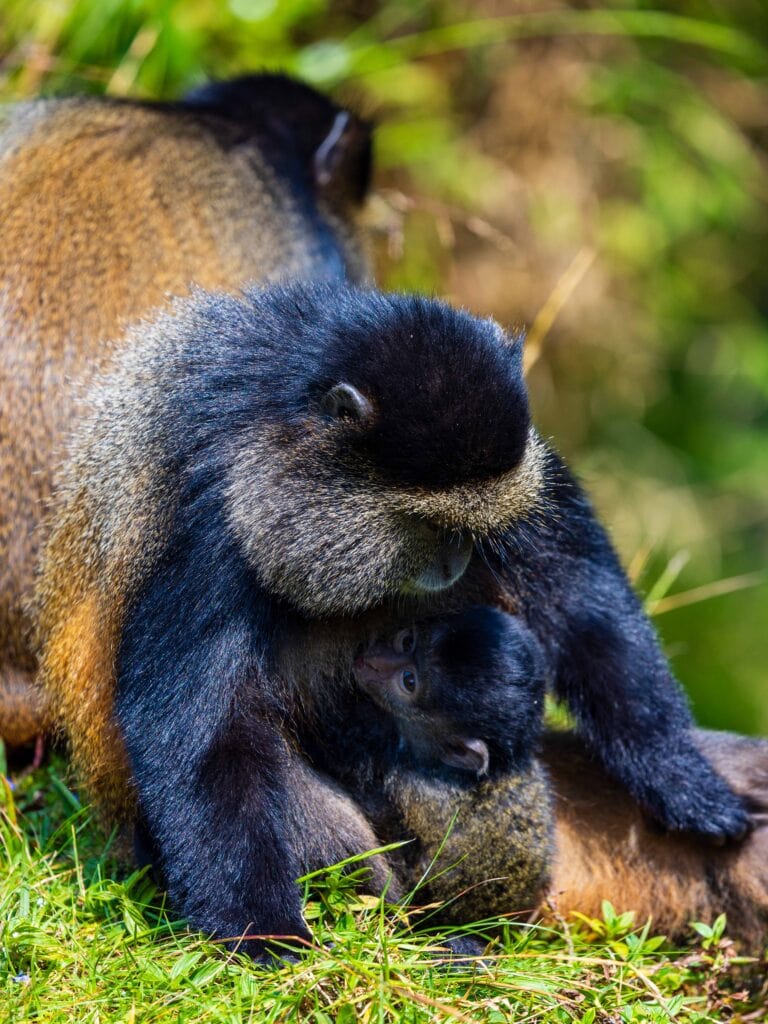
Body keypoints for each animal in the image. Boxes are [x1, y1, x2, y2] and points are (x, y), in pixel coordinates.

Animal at [24, 275, 750, 961]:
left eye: (465, 528)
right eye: (426, 525)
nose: (455, 561)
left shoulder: (524, 468)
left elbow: (572, 586)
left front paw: (676, 774)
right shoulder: (212, 517)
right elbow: (200, 726)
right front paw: (261, 930)